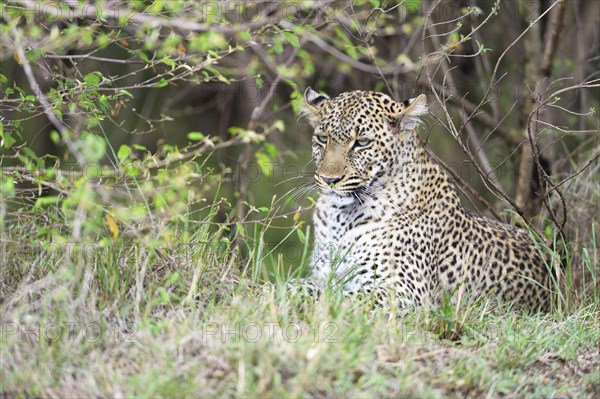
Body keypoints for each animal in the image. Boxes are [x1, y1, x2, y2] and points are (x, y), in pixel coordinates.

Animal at [302, 87, 552, 310]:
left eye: (362, 142)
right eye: (322, 139)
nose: (328, 179)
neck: (339, 218)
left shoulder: (404, 289)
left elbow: (338, 298)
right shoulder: (323, 274)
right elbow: (311, 286)